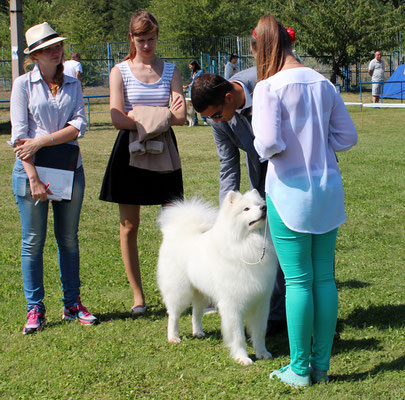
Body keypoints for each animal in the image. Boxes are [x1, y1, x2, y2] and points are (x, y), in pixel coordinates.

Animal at [155, 189, 278, 364]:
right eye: (246, 209)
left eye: (259, 204)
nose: (264, 208)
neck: (247, 243)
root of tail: (181, 232)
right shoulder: (232, 304)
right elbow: (238, 335)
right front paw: (242, 358)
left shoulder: (260, 302)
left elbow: (259, 332)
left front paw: (263, 353)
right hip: (179, 291)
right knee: (173, 315)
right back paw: (173, 337)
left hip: (200, 293)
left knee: (196, 313)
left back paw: (198, 332)